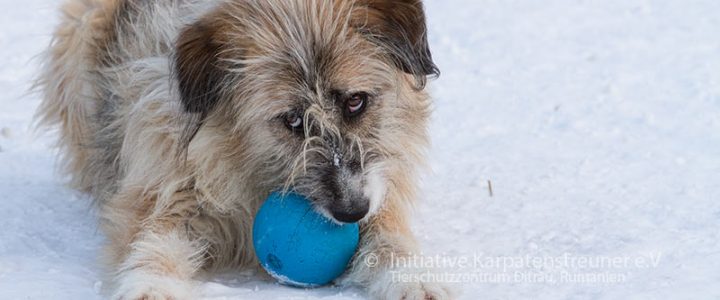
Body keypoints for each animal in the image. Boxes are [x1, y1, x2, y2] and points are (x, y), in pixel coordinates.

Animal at [36, 0, 450, 298]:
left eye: (355, 102)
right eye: (292, 120)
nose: (351, 211)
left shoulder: (379, 189)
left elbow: (389, 239)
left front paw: (414, 279)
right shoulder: (162, 187)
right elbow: (153, 242)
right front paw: (152, 287)